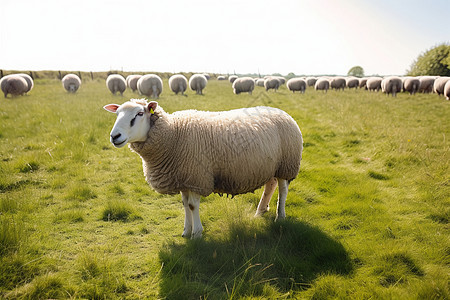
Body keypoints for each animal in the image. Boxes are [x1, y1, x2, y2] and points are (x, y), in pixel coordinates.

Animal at [103, 99, 304, 238]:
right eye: (117, 114)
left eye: (139, 114)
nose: (114, 136)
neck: (173, 134)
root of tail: (282, 112)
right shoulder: (183, 178)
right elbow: (185, 205)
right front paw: (186, 231)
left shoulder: (196, 177)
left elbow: (193, 205)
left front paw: (197, 233)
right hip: (270, 164)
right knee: (270, 185)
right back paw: (260, 211)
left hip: (287, 163)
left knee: (283, 189)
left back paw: (280, 216)